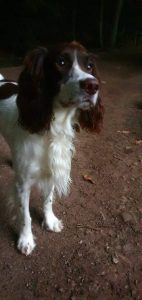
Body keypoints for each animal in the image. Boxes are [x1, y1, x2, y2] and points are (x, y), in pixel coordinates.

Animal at [0, 40, 104, 255]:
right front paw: (26, 240)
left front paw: (50, 221)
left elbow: (48, 199)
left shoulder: (51, 171)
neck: (52, 127)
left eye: (89, 65)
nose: (93, 85)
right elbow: (25, 215)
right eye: (61, 62)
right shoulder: (23, 184)